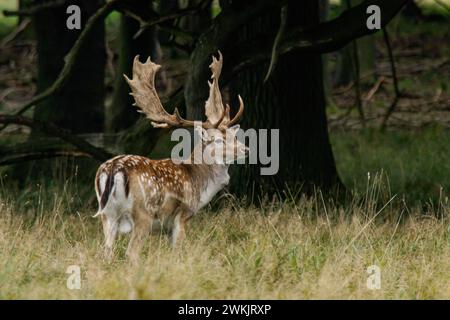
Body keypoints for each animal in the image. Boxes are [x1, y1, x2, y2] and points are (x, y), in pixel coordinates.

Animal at [92, 51, 246, 260]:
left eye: (233, 135)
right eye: (218, 140)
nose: (246, 149)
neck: (197, 180)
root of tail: (112, 170)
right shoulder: (182, 215)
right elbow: (177, 250)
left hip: (107, 215)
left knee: (105, 252)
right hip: (143, 213)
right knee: (131, 252)